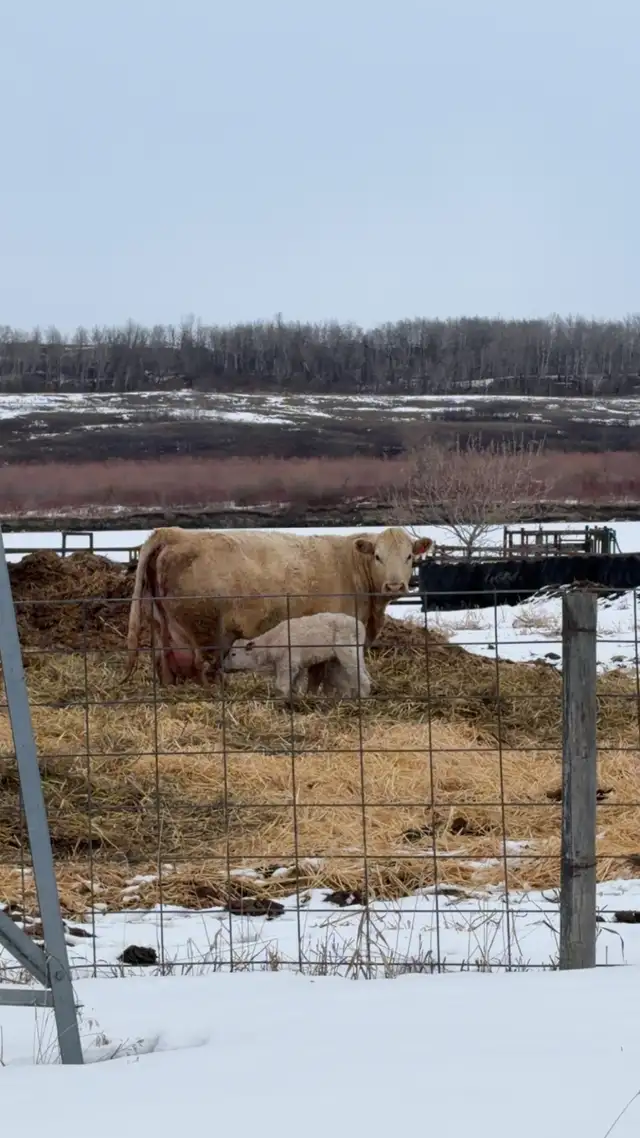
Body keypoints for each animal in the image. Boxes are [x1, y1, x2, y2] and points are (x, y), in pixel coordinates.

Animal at [124, 525, 432, 686]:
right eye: (378, 556)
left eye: (409, 556)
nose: (395, 586)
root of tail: (174, 532)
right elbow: (321, 675)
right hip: (203, 631)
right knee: (204, 667)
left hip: (161, 625)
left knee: (163, 663)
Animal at [222, 613, 371, 704]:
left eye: (233, 654)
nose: (223, 666)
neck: (271, 643)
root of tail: (361, 626)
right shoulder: (298, 665)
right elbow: (295, 685)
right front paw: (295, 698)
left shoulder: (287, 663)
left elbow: (281, 685)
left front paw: (281, 700)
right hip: (340, 657)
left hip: (348, 651)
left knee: (360, 676)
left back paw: (363, 699)